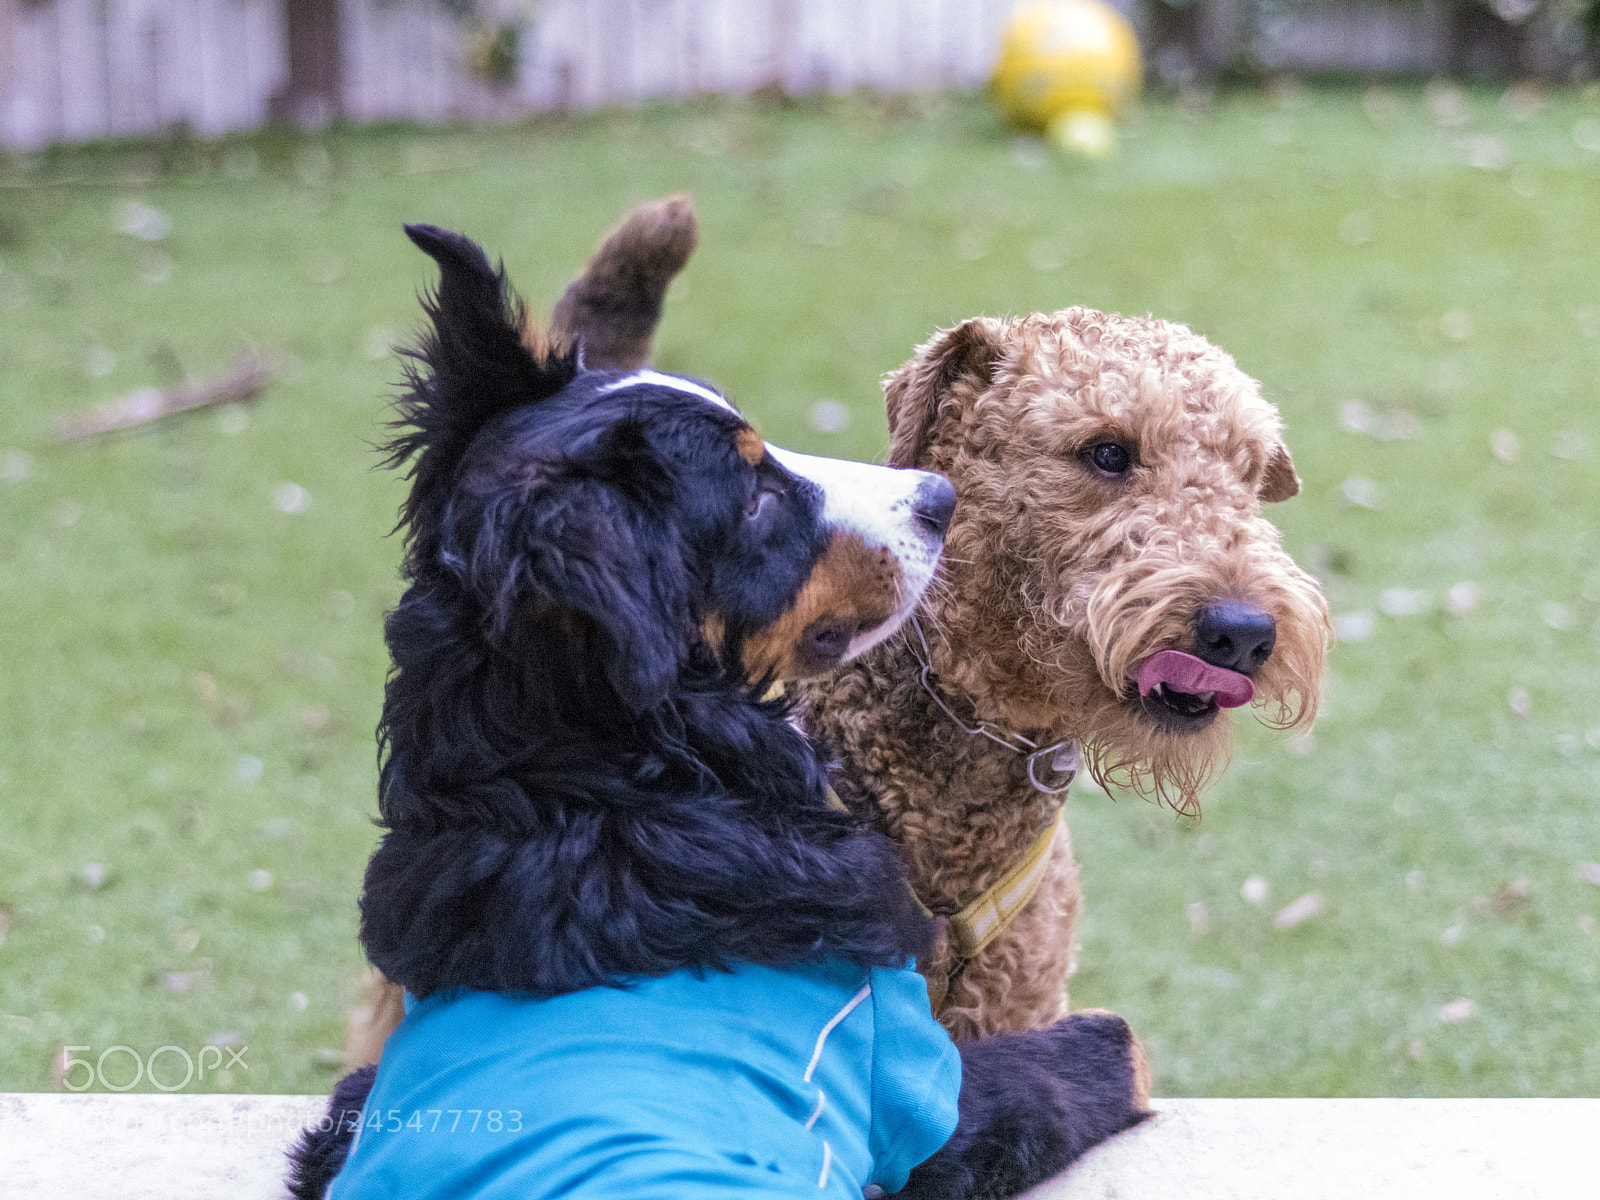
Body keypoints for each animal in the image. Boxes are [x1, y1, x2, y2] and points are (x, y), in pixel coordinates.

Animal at [284, 227, 1139, 1200]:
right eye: (757, 497)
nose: (940, 498)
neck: (599, 792)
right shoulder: (920, 1090)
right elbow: (1088, 1058)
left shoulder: (356, 1106)